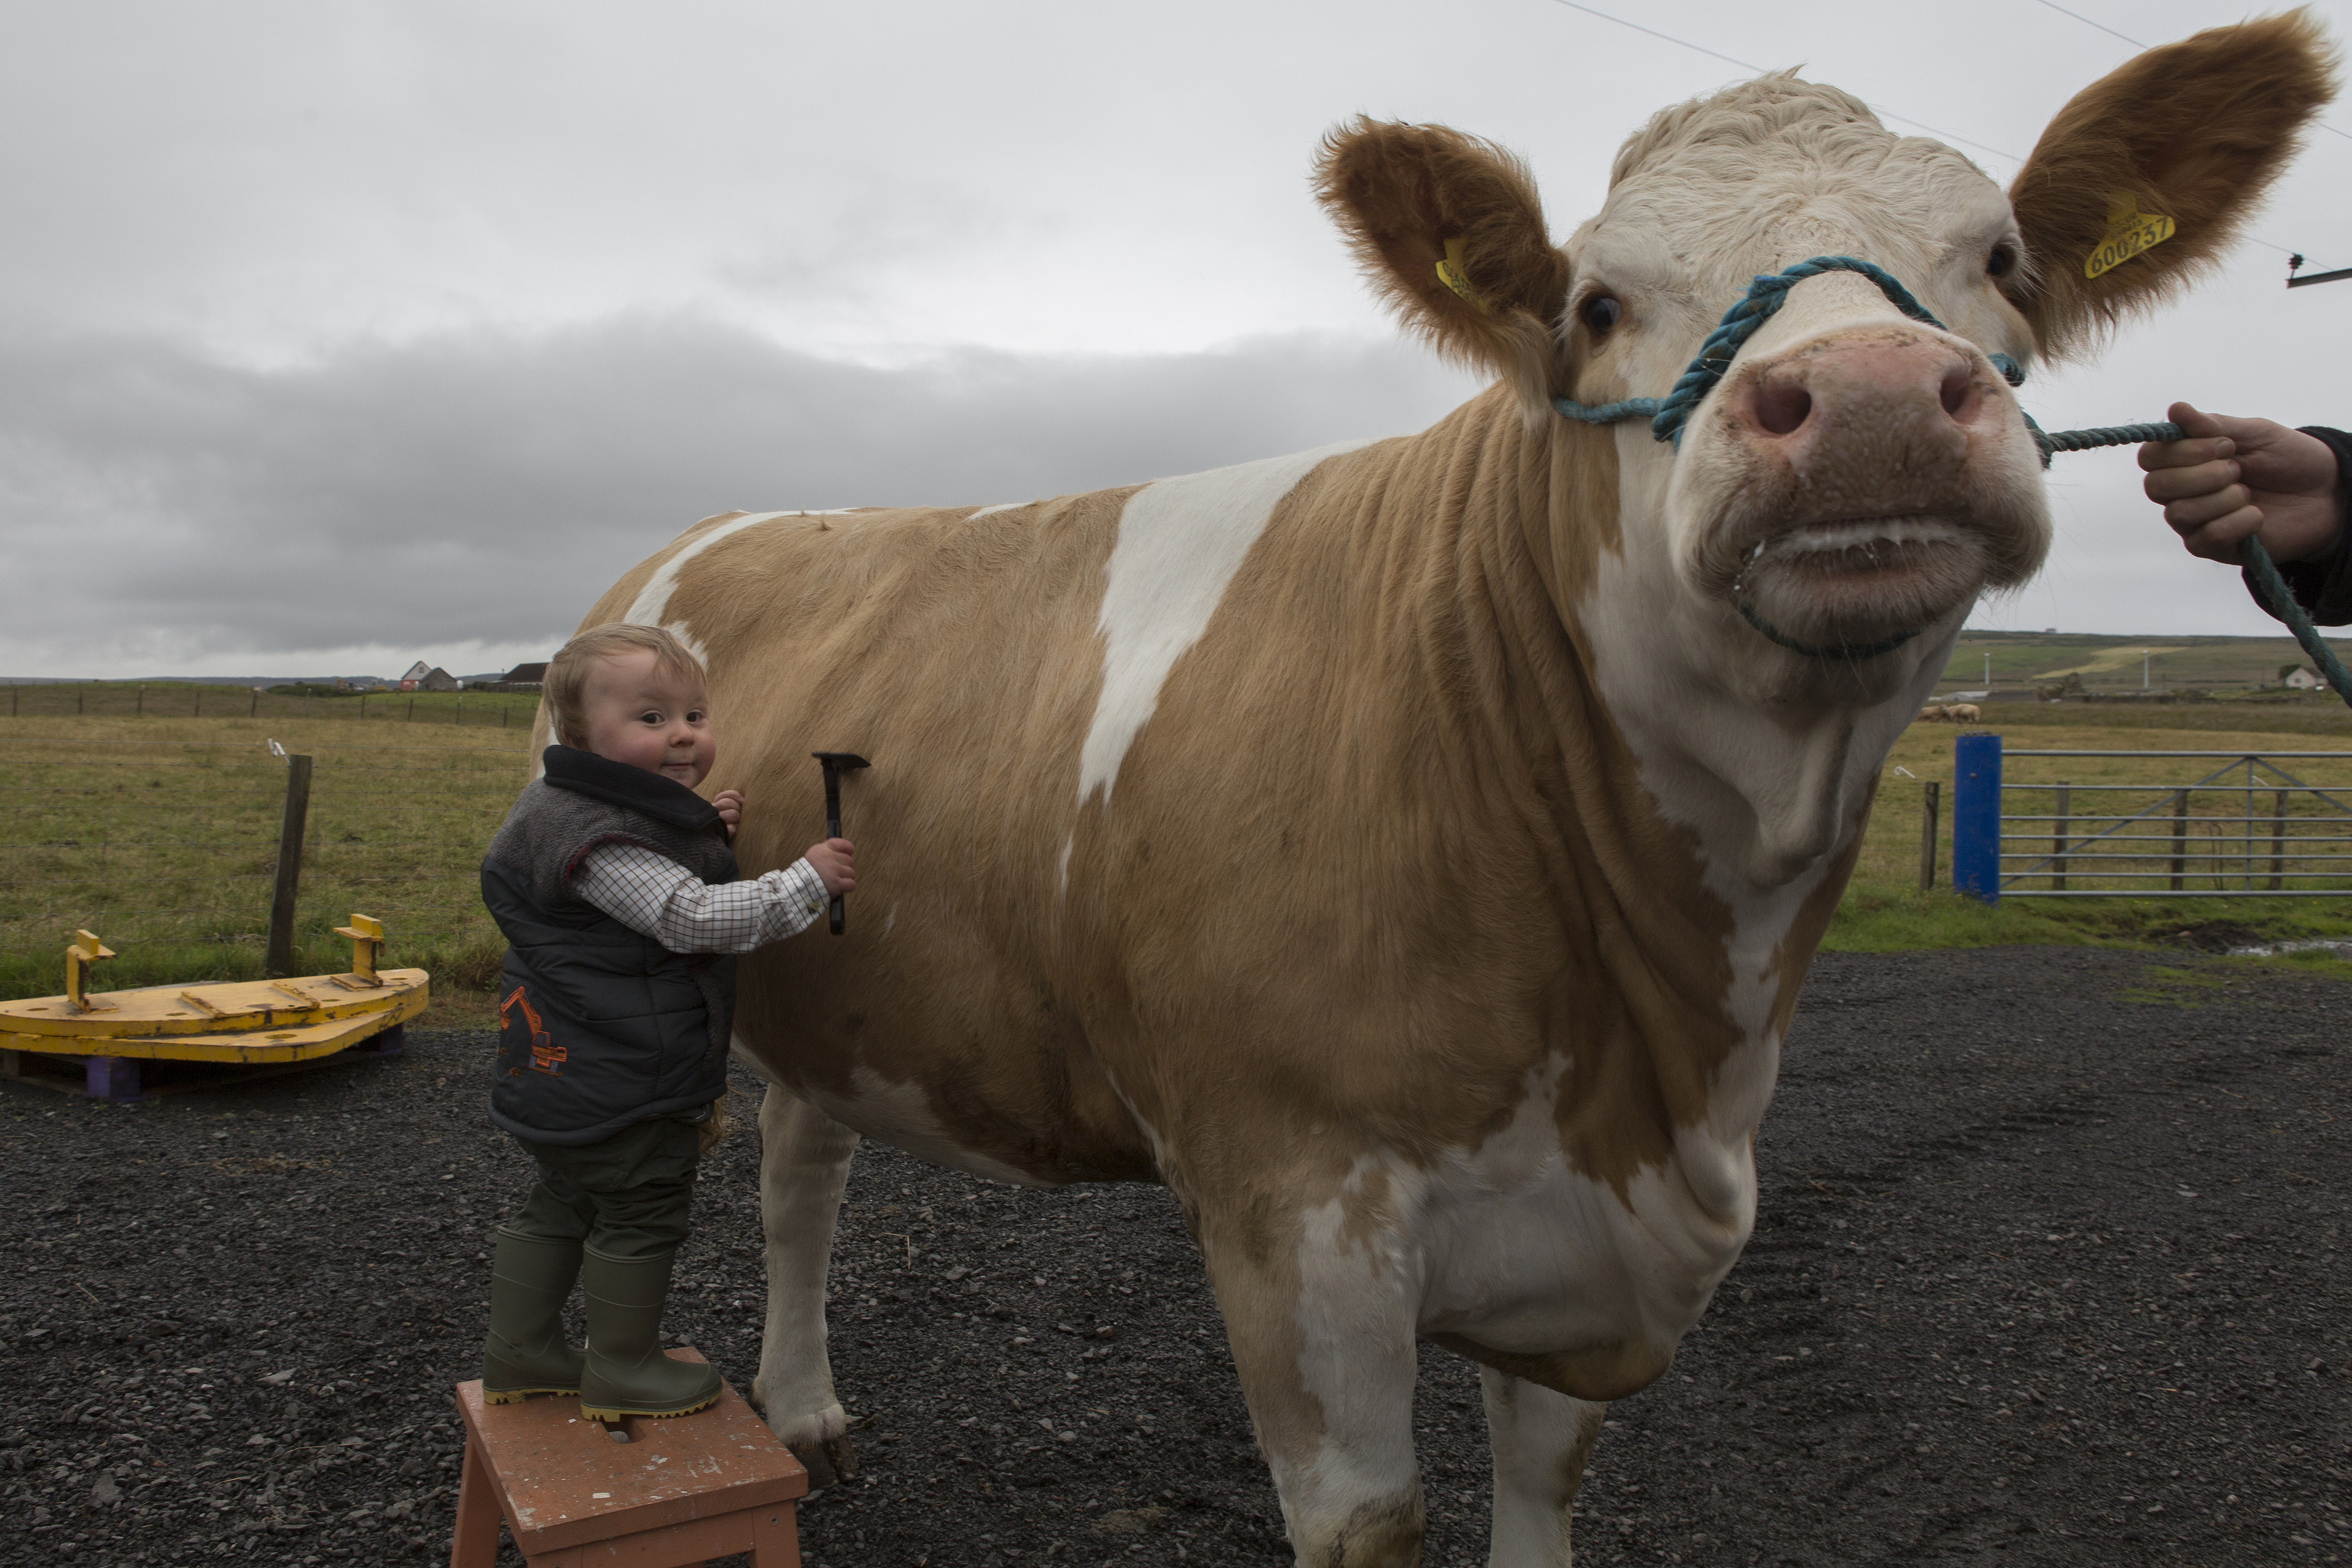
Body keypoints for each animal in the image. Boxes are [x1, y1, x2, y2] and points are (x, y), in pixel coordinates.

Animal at [550, 15, 2333, 1568]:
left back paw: (806, 1410)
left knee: (803, 1165)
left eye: (2005, 261)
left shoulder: (1582, 1238)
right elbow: (1369, 1519)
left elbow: (1545, 1483)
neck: (1661, 1051)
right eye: (1598, 303)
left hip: (841, 992)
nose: (1879, 402)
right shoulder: (1295, 1206)